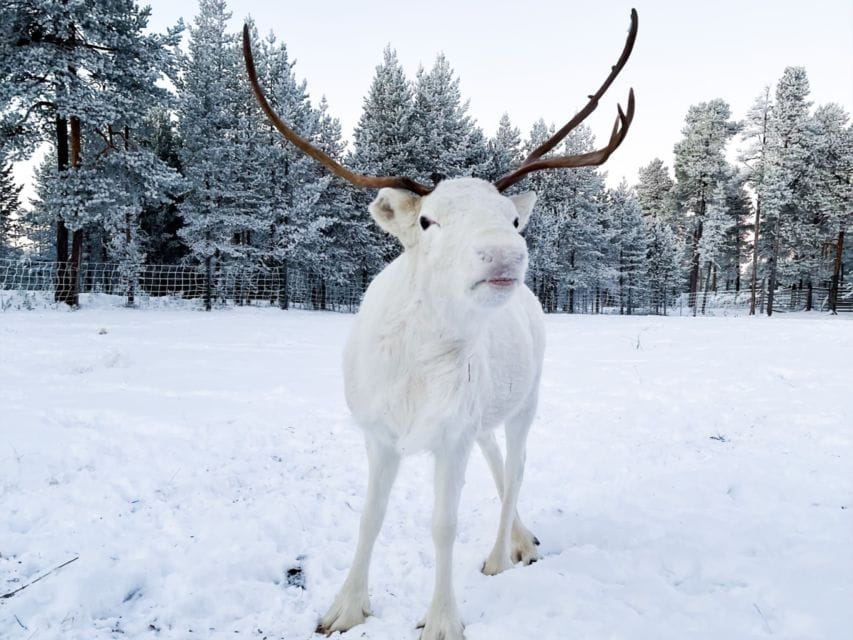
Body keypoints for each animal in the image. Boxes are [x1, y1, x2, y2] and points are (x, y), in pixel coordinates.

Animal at [242, 10, 637, 639]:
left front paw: (443, 619)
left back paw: (504, 553)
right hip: (483, 412)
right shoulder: (379, 431)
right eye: (427, 220)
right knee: (498, 459)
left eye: (511, 219)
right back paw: (521, 537)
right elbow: (370, 517)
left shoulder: (451, 435)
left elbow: (443, 526)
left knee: (517, 466)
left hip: (527, 397)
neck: (415, 371)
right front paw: (344, 607)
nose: (505, 253)